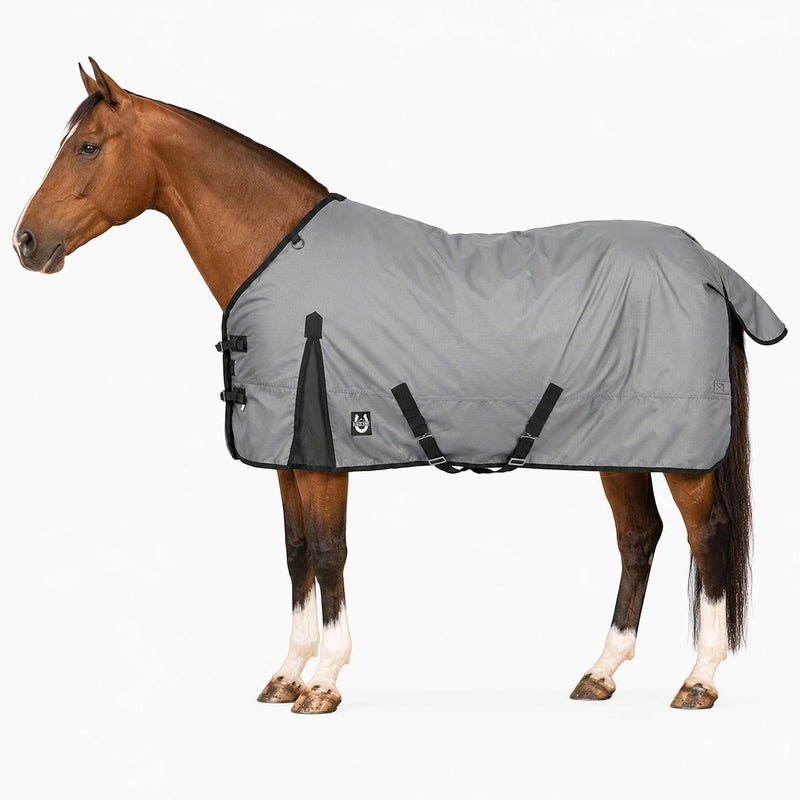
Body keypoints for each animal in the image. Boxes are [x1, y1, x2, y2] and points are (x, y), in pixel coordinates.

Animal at [13, 59, 785, 714]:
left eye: (87, 146)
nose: (25, 243)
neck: (279, 253)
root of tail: (706, 264)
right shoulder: (289, 455)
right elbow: (296, 552)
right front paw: (286, 674)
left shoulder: (325, 450)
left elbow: (329, 552)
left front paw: (323, 681)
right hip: (618, 440)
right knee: (638, 537)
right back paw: (601, 673)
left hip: (681, 453)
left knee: (707, 535)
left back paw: (699, 679)